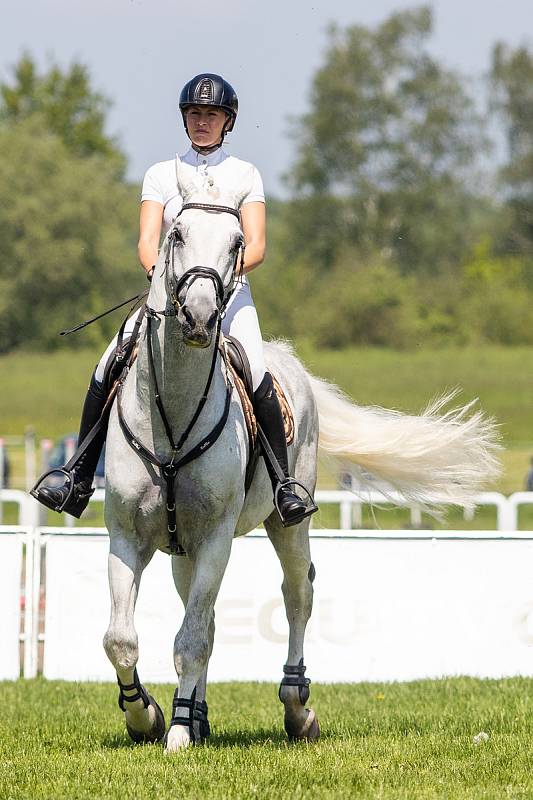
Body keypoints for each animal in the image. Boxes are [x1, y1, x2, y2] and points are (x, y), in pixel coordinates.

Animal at [102, 162, 500, 752]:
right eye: (175, 233)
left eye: (238, 242)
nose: (198, 319)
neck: (171, 410)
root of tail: (291, 364)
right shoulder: (128, 535)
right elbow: (123, 639)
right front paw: (145, 716)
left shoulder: (217, 536)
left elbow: (191, 640)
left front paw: (172, 732)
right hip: (183, 549)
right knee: (207, 614)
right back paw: (197, 716)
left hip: (285, 523)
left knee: (296, 595)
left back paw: (295, 709)